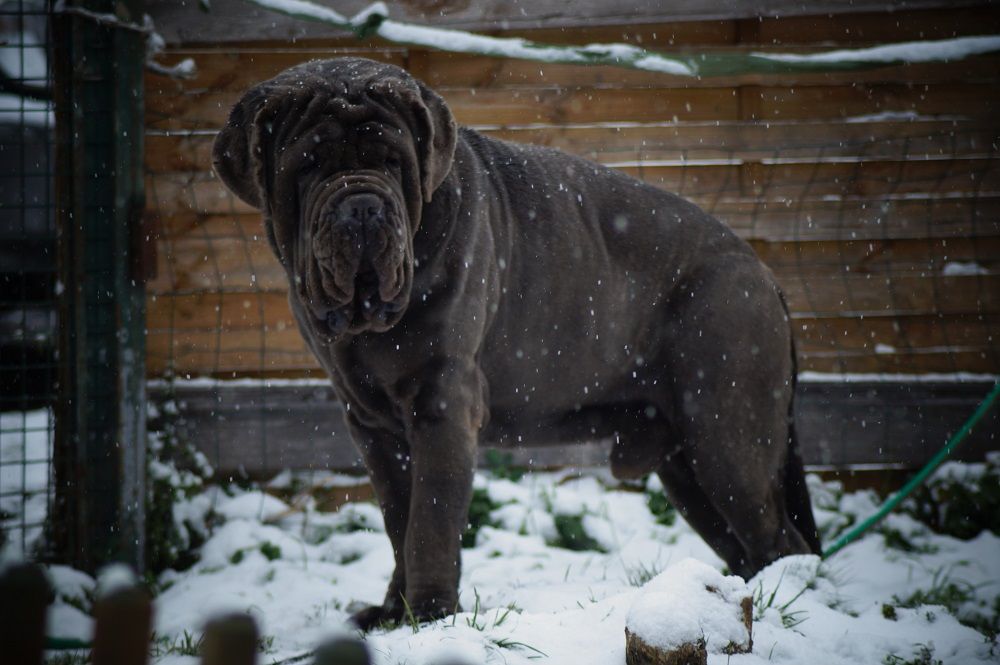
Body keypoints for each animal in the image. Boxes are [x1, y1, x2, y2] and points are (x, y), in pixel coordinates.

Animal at [211, 57, 820, 628]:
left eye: (393, 162)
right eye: (309, 165)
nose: (362, 207)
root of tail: (766, 275)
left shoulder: (443, 405)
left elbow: (430, 522)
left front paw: (429, 615)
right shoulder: (372, 425)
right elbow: (397, 520)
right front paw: (390, 614)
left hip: (727, 434)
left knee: (779, 539)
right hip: (686, 467)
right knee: (747, 545)